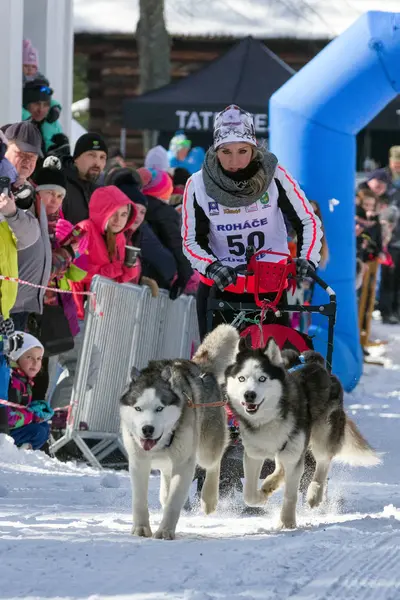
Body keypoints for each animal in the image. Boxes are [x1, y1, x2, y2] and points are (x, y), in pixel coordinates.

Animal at [120, 326, 239, 540]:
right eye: (138, 408)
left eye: (159, 408)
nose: (147, 429)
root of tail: (200, 367)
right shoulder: (138, 462)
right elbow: (139, 500)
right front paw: (141, 527)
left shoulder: (184, 464)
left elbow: (175, 500)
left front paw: (165, 530)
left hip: (207, 448)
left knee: (214, 463)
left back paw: (209, 499)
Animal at [225, 336, 382, 528]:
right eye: (241, 378)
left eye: (262, 378)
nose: (249, 395)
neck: (270, 418)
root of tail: (314, 362)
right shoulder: (254, 454)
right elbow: (249, 494)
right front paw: (261, 497)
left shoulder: (295, 452)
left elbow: (291, 495)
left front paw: (287, 522)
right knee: (281, 467)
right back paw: (270, 483)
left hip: (321, 436)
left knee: (323, 462)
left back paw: (314, 494)